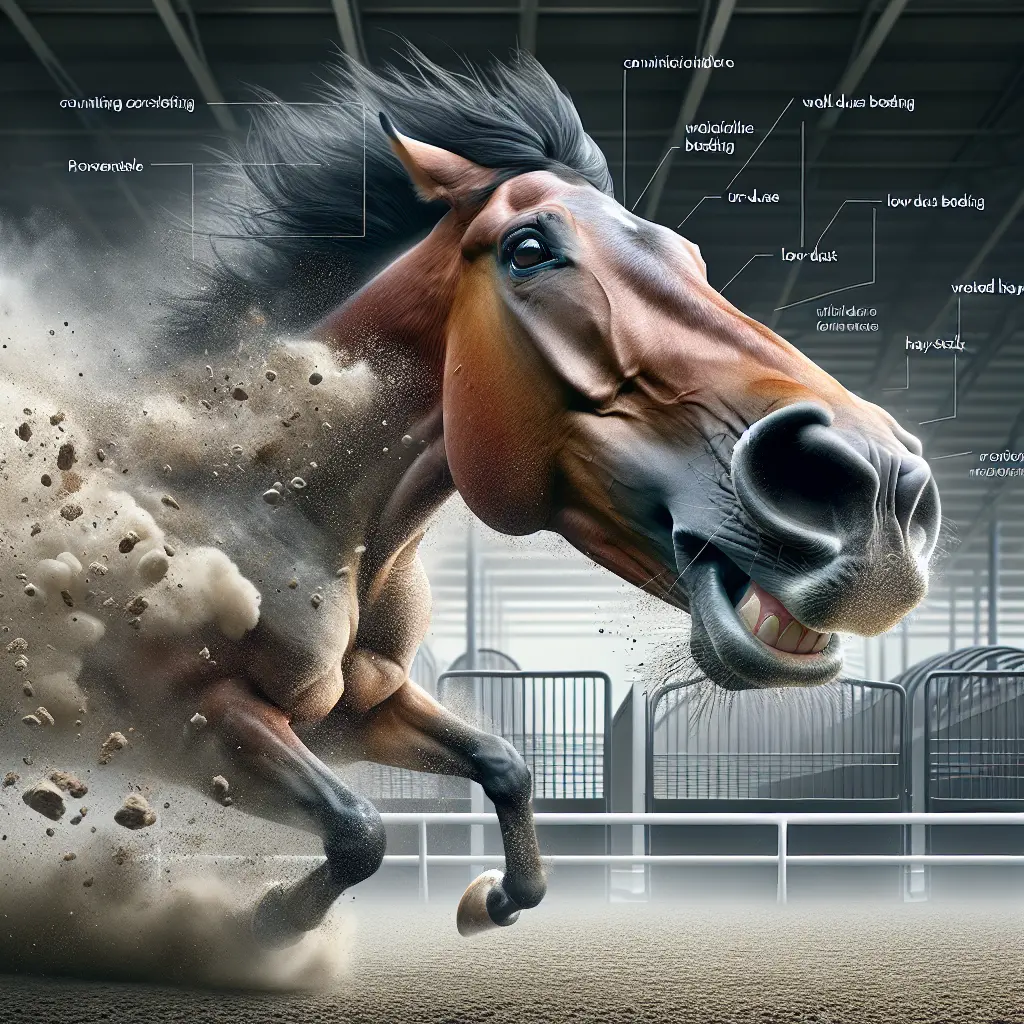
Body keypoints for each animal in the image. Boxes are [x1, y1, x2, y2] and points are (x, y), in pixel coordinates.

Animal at [2, 50, 940, 946]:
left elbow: (502, 765)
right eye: (528, 249)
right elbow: (361, 829)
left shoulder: (361, 711)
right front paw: (265, 923)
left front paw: (494, 898)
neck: (292, 511)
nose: (879, 490)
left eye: (693, 262)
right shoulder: (191, 720)